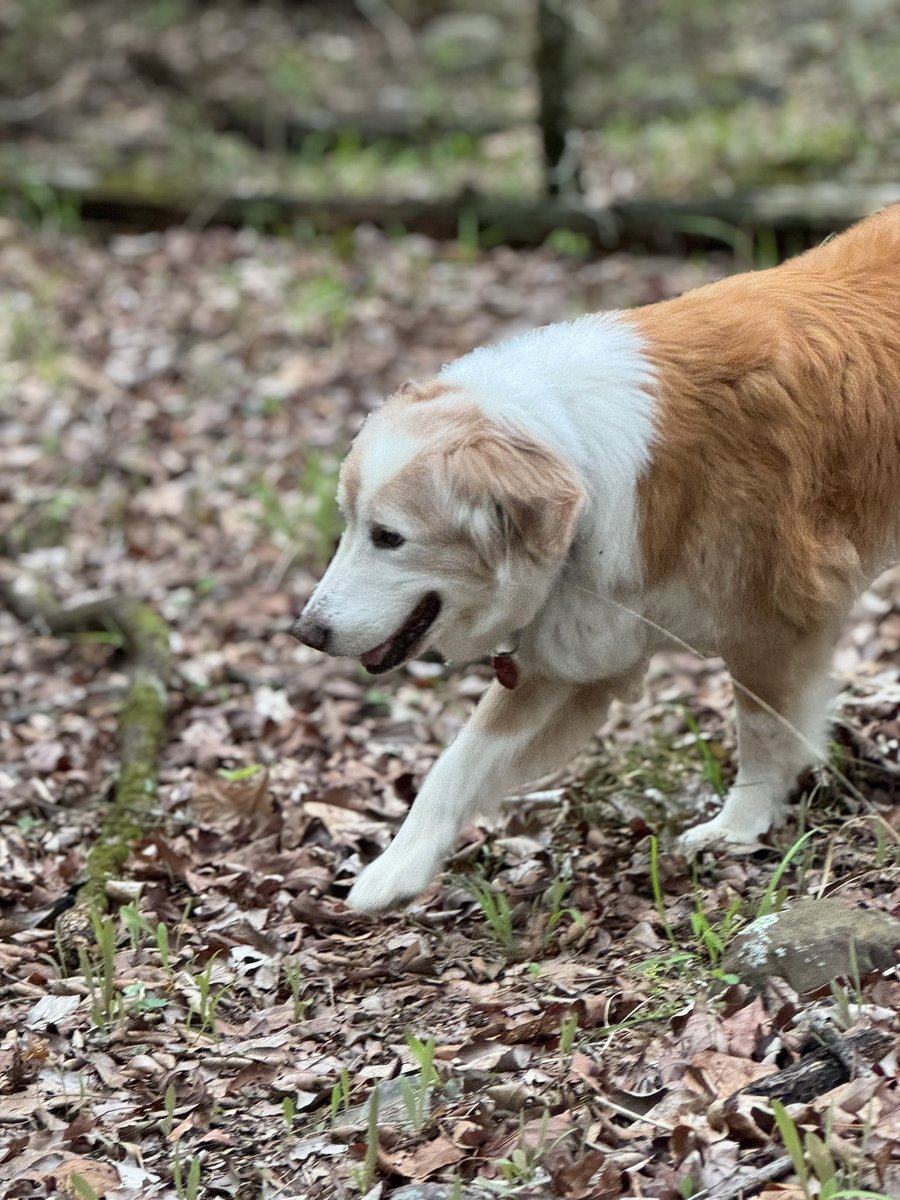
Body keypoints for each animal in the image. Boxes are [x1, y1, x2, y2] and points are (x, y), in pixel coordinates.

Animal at [290, 211, 900, 912]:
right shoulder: (574, 655)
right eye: (347, 524)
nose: (305, 633)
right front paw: (395, 870)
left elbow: (763, 735)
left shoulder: (769, 629)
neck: (575, 454)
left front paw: (740, 828)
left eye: (388, 537)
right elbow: (457, 762)